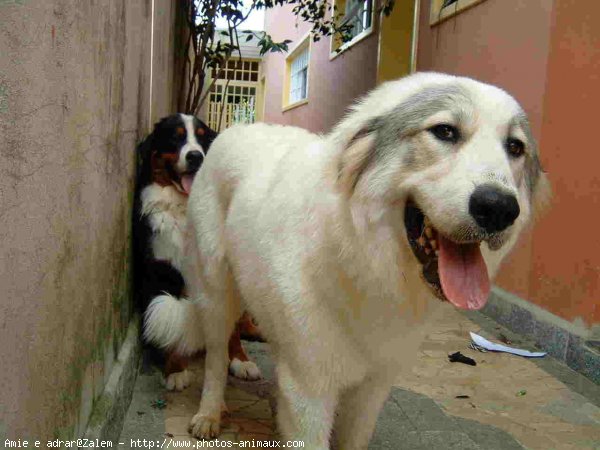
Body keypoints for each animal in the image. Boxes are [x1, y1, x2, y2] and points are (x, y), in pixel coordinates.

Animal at [134, 113, 262, 390]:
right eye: (176, 136)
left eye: (203, 139)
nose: (196, 157)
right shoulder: (163, 270)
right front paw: (175, 370)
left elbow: (233, 330)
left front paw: (240, 360)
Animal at [185, 72, 552, 448]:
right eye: (445, 131)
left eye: (515, 147)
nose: (499, 209)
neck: (364, 257)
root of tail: (236, 129)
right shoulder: (310, 391)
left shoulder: (371, 389)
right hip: (215, 292)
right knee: (215, 356)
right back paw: (210, 413)